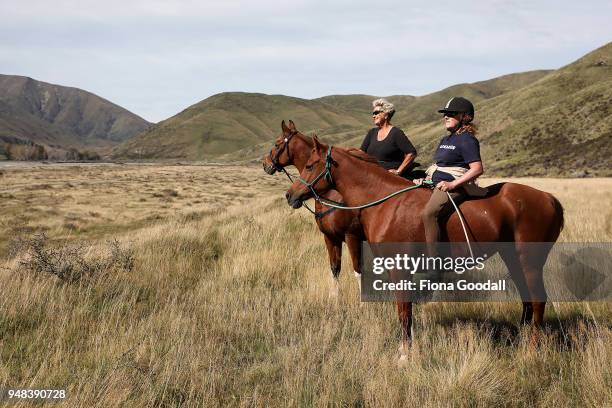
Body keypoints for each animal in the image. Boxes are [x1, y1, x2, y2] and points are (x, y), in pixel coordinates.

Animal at [262, 119, 364, 294]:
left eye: (276, 144)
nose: (264, 164)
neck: (332, 194)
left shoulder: (353, 237)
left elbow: (358, 273)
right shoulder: (330, 237)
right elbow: (335, 269)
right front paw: (335, 297)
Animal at [286, 138, 564, 360]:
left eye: (310, 165)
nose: (290, 195)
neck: (386, 203)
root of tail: (549, 198)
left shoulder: (399, 269)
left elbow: (404, 312)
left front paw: (404, 355)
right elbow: (405, 312)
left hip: (529, 261)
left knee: (538, 300)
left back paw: (531, 350)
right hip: (512, 258)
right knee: (527, 300)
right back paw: (522, 340)